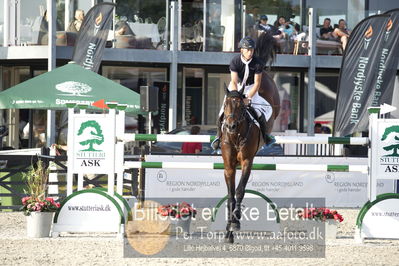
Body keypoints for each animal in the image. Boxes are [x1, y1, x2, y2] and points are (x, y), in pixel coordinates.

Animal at [222, 31, 282, 243]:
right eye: (226, 106)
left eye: (241, 106)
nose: (231, 126)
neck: (236, 135)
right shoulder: (229, 165)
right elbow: (230, 194)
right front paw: (228, 232)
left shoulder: (247, 161)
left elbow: (240, 191)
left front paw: (236, 223)